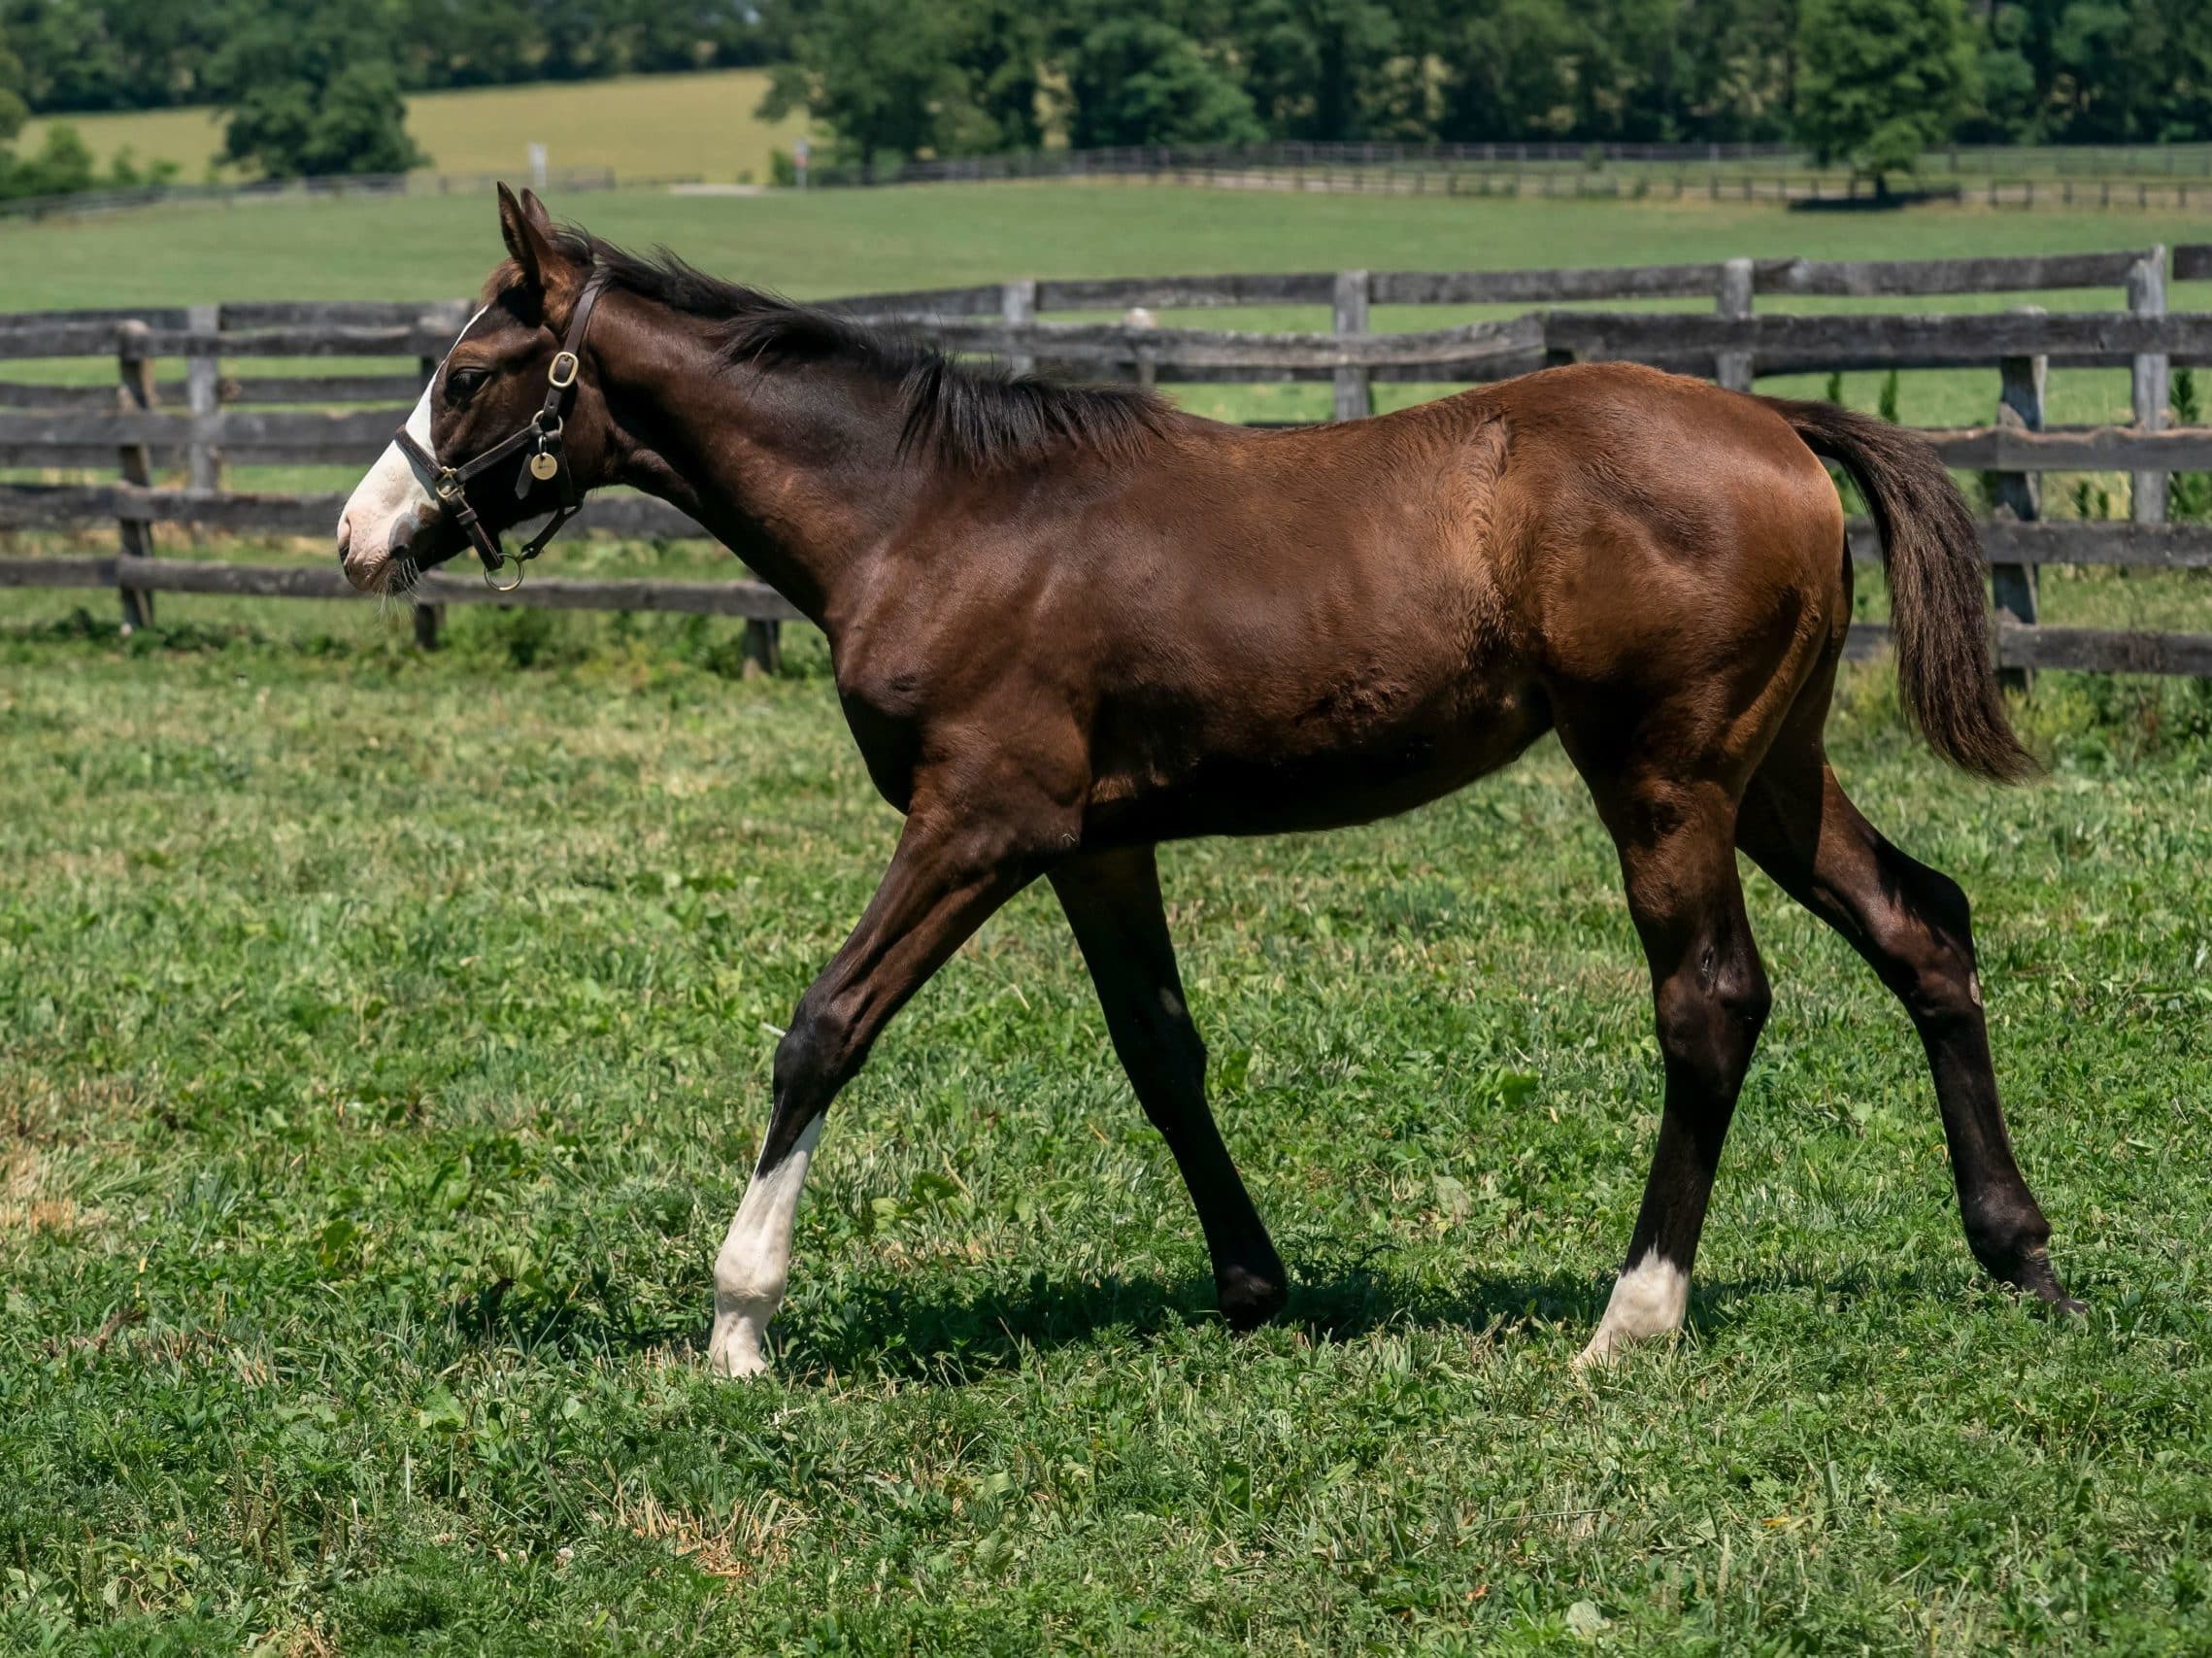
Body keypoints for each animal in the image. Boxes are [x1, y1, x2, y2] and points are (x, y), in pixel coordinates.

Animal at [331, 186, 2070, 1372]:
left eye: (473, 373)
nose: (358, 534)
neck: (929, 512)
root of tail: (1773, 423)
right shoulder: (1095, 841)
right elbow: (1162, 1052)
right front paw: (1251, 1289)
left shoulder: (978, 820)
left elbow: (824, 1024)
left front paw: (739, 1321)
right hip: (1767, 769)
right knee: (1922, 925)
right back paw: (2019, 1251)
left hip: (1662, 775)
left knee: (1709, 996)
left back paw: (1631, 1314)